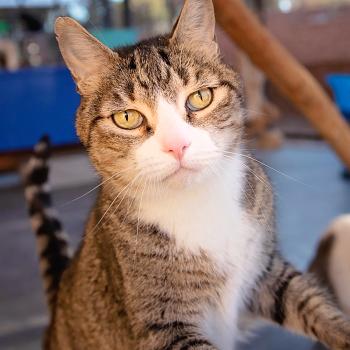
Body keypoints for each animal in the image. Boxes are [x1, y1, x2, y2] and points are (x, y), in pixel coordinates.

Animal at [22, 1, 350, 348]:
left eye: (200, 98)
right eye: (127, 118)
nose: (177, 145)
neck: (198, 203)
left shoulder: (265, 273)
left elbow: (310, 304)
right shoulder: (163, 324)